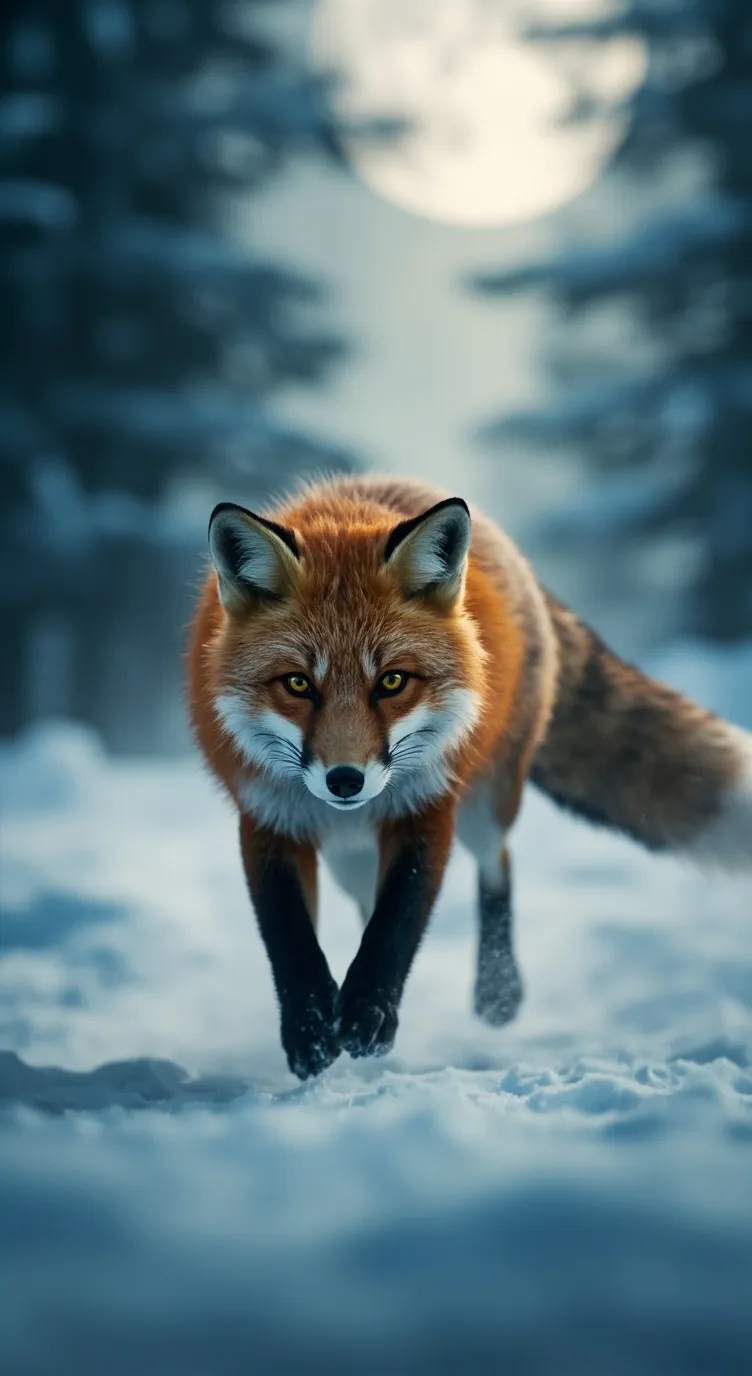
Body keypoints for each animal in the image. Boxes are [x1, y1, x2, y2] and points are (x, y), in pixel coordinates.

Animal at [188, 474, 752, 1079]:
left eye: (392, 681)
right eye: (297, 683)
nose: (345, 781)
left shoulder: (428, 806)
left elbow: (397, 922)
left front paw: (367, 1014)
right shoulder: (267, 815)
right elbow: (289, 934)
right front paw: (312, 1028)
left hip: (485, 805)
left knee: (497, 861)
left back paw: (498, 991)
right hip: (349, 858)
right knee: (367, 899)